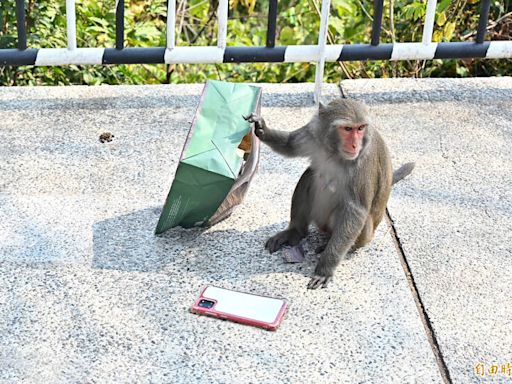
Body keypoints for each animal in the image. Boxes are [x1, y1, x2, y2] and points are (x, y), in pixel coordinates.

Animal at [246, 99, 414, 288]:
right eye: (347, 129)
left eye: (360, 128)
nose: (355, 145)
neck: (334, 152)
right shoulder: (313, 134)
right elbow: (289, 144)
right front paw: (262, 129)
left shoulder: (362, 160)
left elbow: (356, 211)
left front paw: (325, 269)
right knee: (310, 175)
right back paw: (295, 232)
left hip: (364, 234)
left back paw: (335, 246)